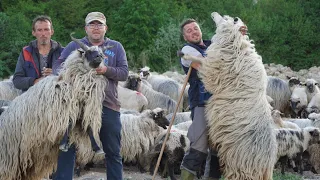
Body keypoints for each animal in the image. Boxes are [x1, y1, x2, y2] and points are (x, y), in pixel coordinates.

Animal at [0, 35, 107, 180]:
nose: (99, 57)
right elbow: (68, 123)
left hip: (26, 162)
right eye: (87, 52)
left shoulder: (85, 109)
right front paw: (63, 144)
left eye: (101, 52)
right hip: (10, 157)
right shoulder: (64, 109)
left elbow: (89, 127)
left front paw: (97, 148)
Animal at [180, 11, 278, 179]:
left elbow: (201, 61)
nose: (213, 13)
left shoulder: (215, 70)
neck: (235, 43)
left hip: (242, 167)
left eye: (227, 18)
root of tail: (267, 166)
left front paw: (186, 55)